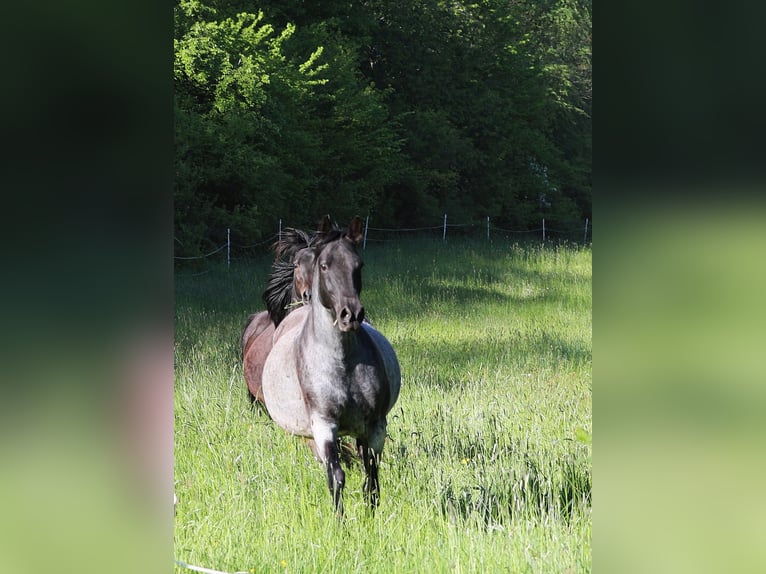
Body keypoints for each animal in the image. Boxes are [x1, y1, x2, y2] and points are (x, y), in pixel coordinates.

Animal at [261, 216, 401, 514]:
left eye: (359, 265)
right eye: (324, 265)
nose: (351, 314)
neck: (341, 363)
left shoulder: (375, 425)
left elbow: (371, 474)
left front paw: (372, 515)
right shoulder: (324, 426)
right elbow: (336, 477)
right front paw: (340, 520)